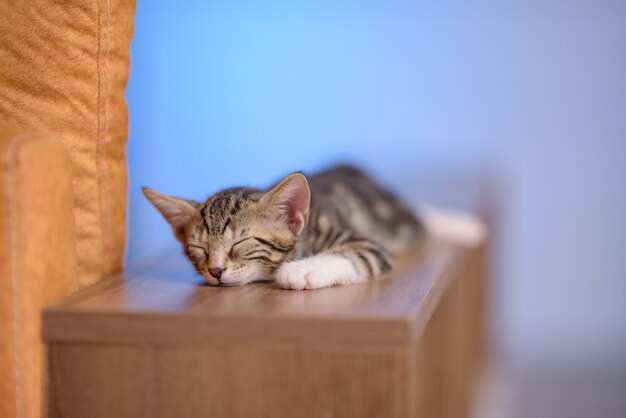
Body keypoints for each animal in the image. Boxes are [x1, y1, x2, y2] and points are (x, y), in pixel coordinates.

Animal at [143, 165, 482, 290]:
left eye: (240, 243)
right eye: (199, 249)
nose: (215, 270)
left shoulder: (367, 243)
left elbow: (354, 253)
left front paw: (302, 269)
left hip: (395, 220)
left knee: (420, 220)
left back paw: (463, 227)